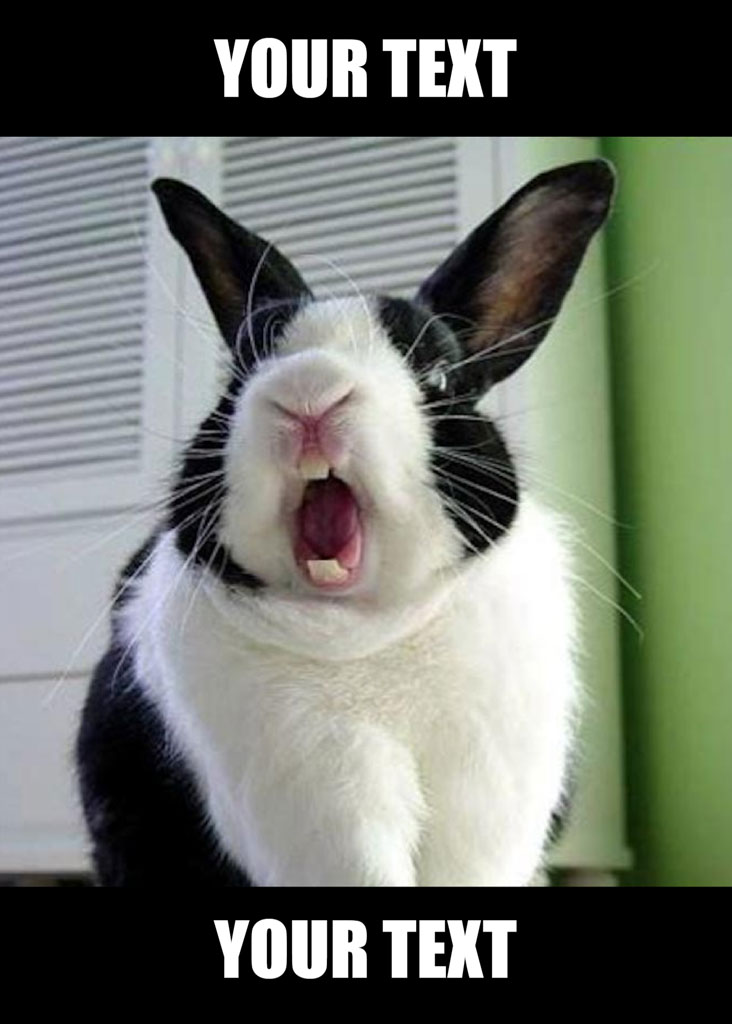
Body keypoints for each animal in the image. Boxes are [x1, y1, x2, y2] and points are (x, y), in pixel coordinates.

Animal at [76, 158, 615, 887]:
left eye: (438, 375)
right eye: (241, 374)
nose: (308, 390)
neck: (368, 627)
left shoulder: (489, 799)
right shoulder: (324, 795)